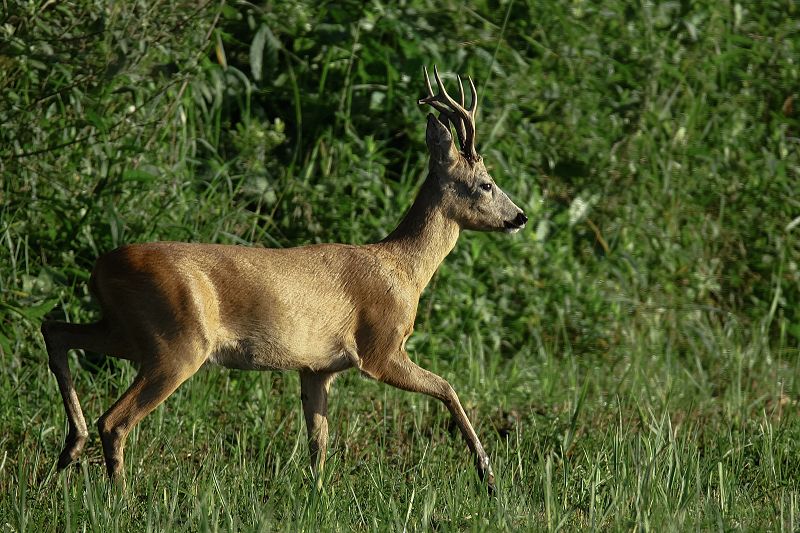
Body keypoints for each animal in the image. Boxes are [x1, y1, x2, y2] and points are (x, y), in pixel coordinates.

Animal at [42, 66, 532, 490]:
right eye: (487, 183)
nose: (520, 217)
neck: (403, 269)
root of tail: (100, 268)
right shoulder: (380, 347)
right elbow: (447, 387)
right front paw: (487, 473)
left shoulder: (316, 367)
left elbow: (319, 441)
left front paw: (317, 494)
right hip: (176, 342)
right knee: (115, 420)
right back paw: (117, 497)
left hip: (128, 330)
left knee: (55, 330)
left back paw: (68, 453)